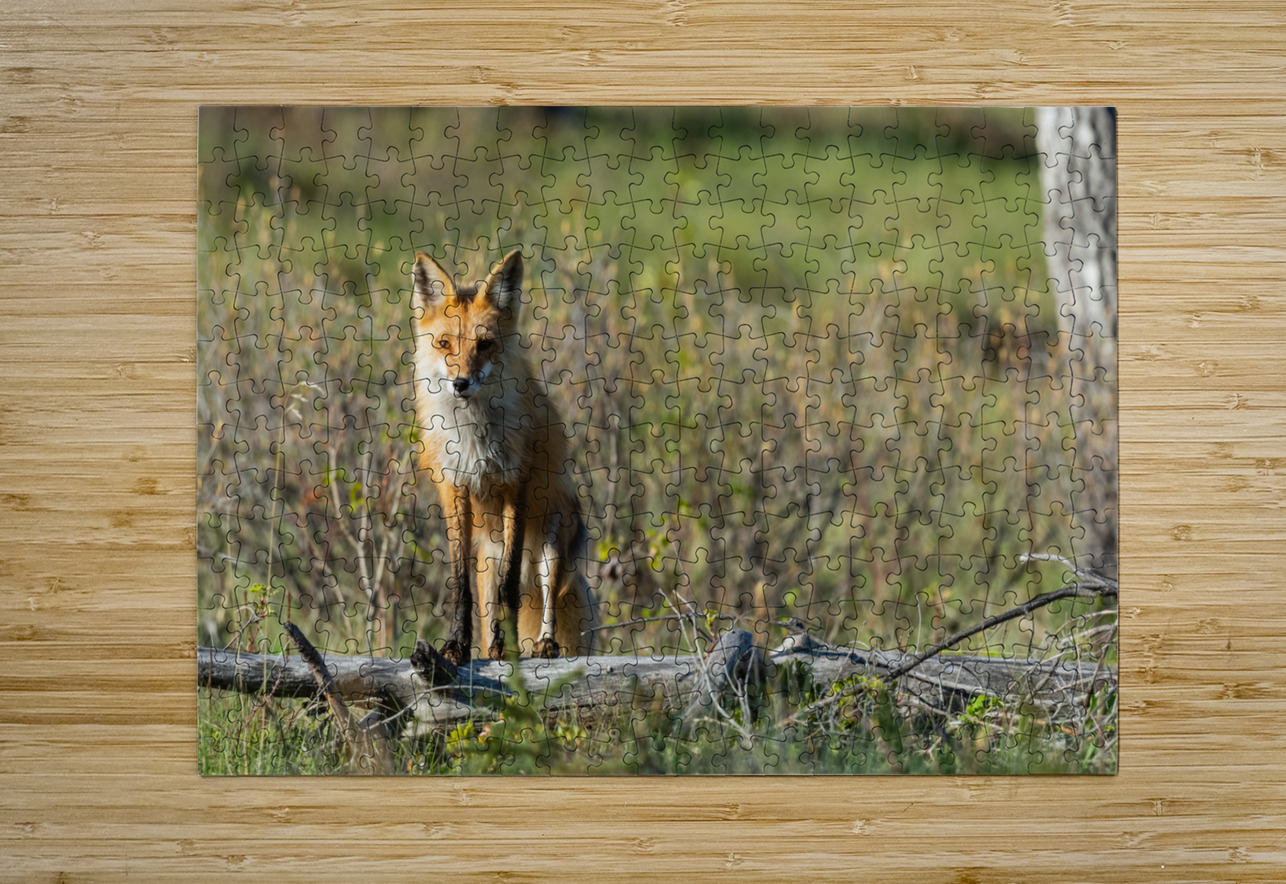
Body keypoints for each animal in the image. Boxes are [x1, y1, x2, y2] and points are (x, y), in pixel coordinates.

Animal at [410, 248, 597, 664]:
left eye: (484, 345)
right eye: (444, 344)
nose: (460, 383)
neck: (473, 434)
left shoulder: (517, 485)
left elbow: (511, 585)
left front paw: (510, 648)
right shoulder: (455, 489)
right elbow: (459, 585)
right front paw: (455, 646)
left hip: (551, 545)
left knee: (544, 593)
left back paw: (543, 643)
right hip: (488, 560)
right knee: (488, 603)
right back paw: (489, 647)